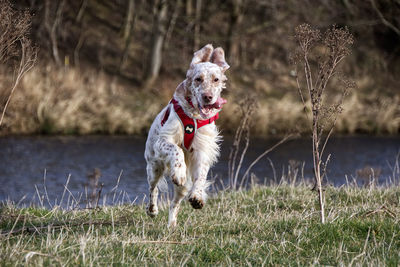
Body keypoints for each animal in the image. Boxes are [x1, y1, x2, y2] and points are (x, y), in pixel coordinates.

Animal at [145, 44, 230, 228]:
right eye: (198, 79)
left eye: (216, 79)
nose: (207, 97)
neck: (194, 116)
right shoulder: (163, 140)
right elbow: (176, 149)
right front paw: (179, 171)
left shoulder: (202, 150)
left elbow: (201, 175)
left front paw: (197, 196)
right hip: (154, 166)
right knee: (153, 189)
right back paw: (152, 210)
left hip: (181, 188)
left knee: (174, 203)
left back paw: (171, 226)